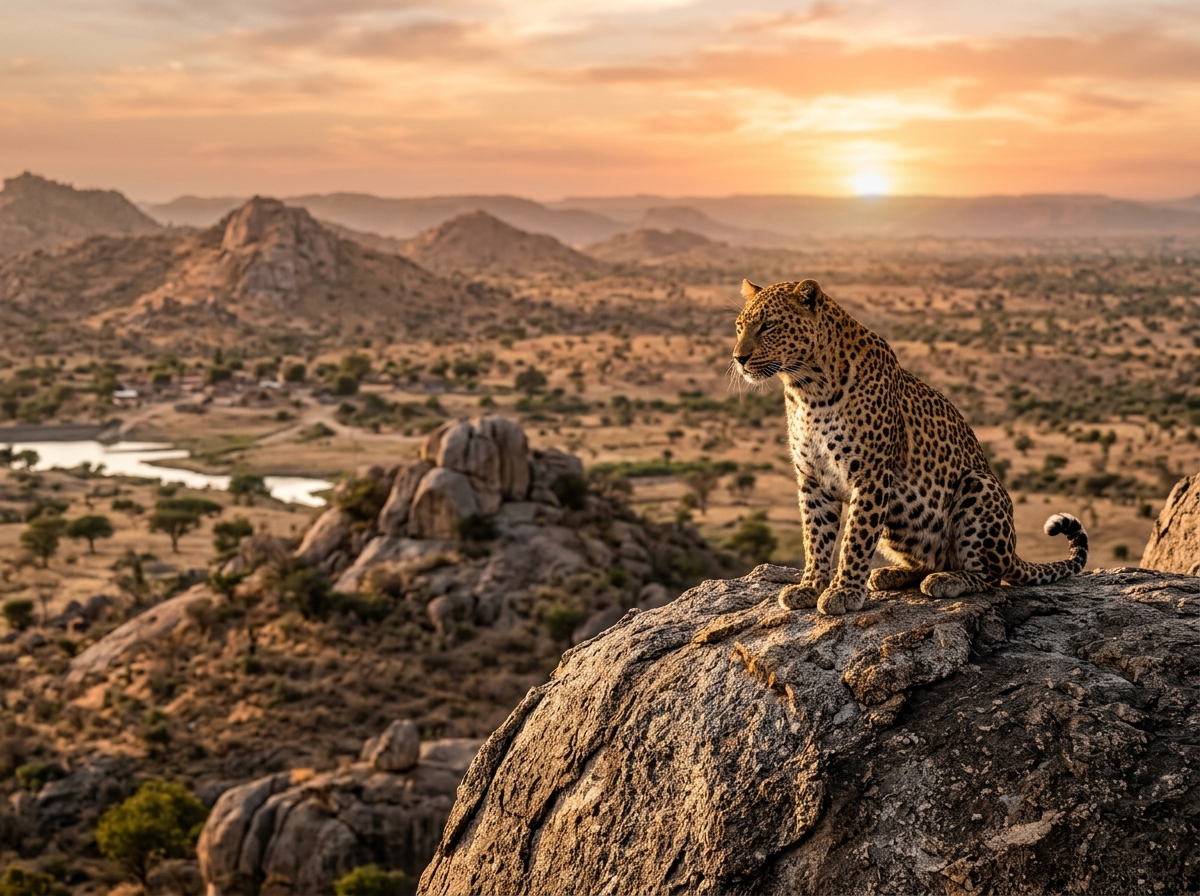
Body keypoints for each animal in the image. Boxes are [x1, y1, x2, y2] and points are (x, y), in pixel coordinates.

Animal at [732, 278, 1088, 616]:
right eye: (739, 327)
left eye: (768, 325)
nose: (739, 358)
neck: (806, 389)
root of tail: (1013, 552)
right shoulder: (812, 478)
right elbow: (815, 536)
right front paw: (810, 586)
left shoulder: (871, 475)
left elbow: (855, 538)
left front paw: (843, 592)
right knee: (931, 560)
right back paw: (890, 575)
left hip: (978, 484)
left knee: (990, 576)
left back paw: (947, 580)